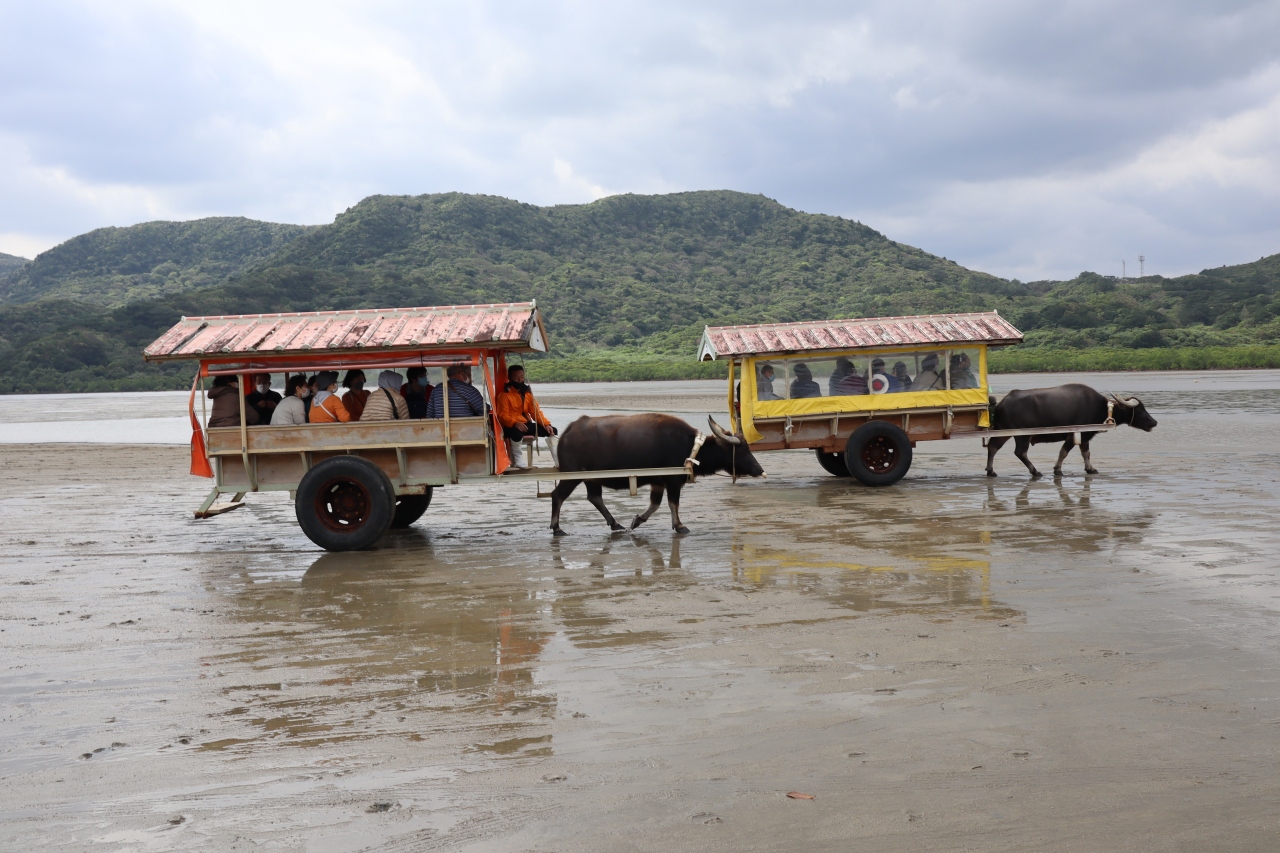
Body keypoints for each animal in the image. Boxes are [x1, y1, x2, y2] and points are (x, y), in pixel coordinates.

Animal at [549, 414, 765, 536]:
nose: (760, 470)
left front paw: (637, 521)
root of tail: (568, 431)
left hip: (591, 479)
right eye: (743, 449)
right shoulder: (673, 481)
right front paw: (680, 526)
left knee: (594, 498)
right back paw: (557, 528)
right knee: (557, 495)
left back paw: (615, 524)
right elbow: (673, 504)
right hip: (573, 476)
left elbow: (655, 504)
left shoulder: (658, 482)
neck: (690, 447)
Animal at [985, 383, 1157, 478]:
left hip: (1003, 432)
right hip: (1021, 435)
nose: (1154, 422)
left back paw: (991, 471)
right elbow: (1064, 452)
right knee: (1020, 452)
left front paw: (1090, 468)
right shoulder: (1073, 435)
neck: (1101, 408)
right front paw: (1057, 469)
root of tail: (1002, 402)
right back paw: (1035, 472)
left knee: (993, 447)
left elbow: (1086, 453)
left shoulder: (1085, 436)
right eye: (1140, 409)